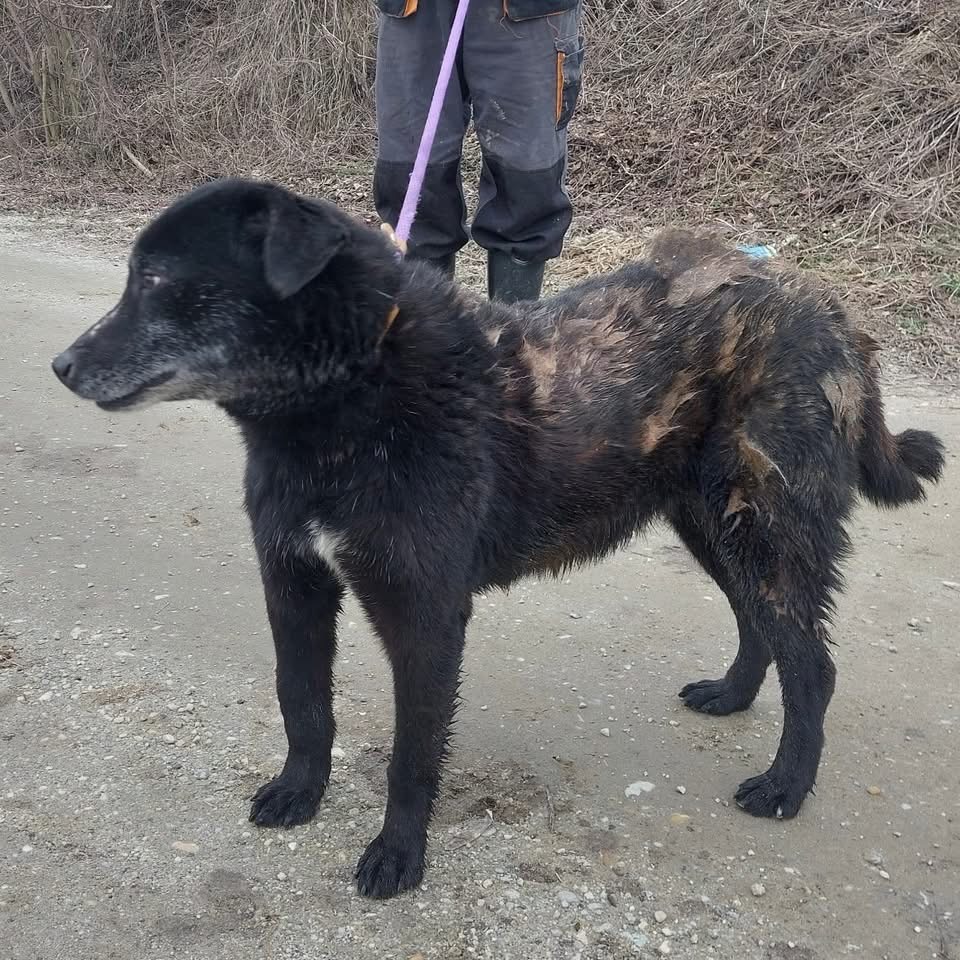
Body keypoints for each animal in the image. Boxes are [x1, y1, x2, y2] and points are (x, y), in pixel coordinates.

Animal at [52, 178, 945, 899]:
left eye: (154, 279)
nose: (60, 367)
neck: (357, 388)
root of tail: (825, 306)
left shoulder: (425, 616)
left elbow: (412, 754)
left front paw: (398, 855)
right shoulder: (293, 584)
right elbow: (301, 703)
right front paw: (299, 792)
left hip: (765, 530)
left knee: (814, 666)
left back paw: (786, 785)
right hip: (715, 526)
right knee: (761, 629)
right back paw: (731, 695)